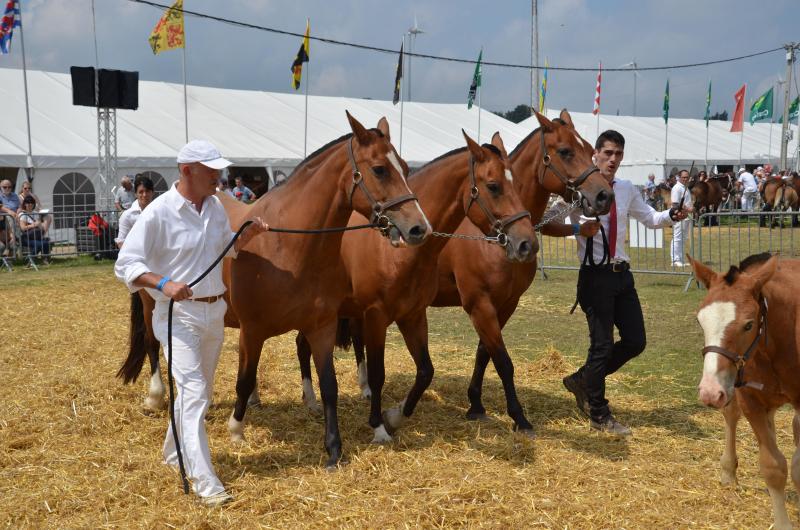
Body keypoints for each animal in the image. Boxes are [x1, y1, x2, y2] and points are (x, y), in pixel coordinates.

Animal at [296, 129, 536, 442]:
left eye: (516, 185)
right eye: (494, 186)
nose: (527, 243)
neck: (400, 253)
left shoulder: (413, 315)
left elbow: (425, 371)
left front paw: (395, 416)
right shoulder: (377, 317)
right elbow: (379, 373)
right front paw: (378, 426)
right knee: (301, 346)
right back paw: (299, 401)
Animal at [688, 253, 800, 528]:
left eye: (749, 325)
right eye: (700, 320)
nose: (709, 392)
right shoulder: (751, 400)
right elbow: (772, 466)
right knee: (731, 415)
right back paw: (728, 471)